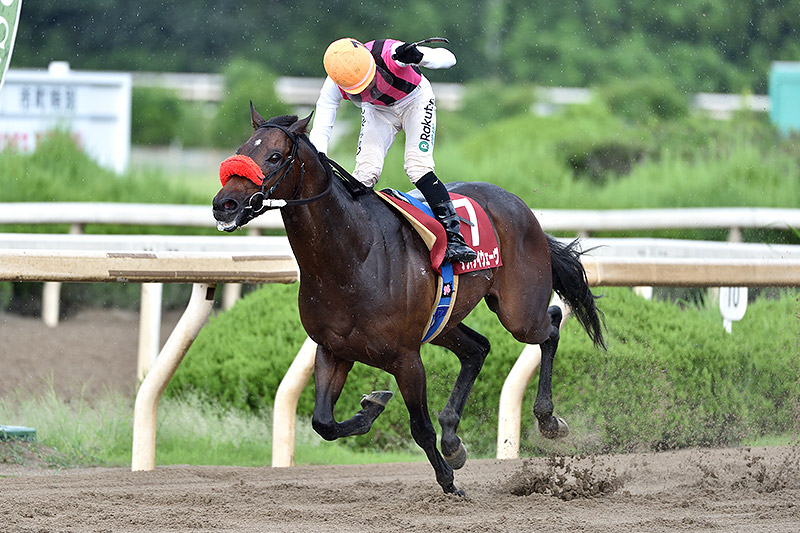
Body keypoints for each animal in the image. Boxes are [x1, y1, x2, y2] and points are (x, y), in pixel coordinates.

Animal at [214, 106, 608, 496]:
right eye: (242, 149)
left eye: (275, 156)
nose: (223, 204)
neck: (352, 256)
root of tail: (517, 204)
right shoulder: (332, 350)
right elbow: (323, 422)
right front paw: (371, 408)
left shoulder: (406, 359)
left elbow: (420, 427)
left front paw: (449, 483)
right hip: (443, 320)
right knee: (477, 348)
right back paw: (454, 440)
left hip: (518, 311)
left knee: (551, 323)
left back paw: (548, 419)